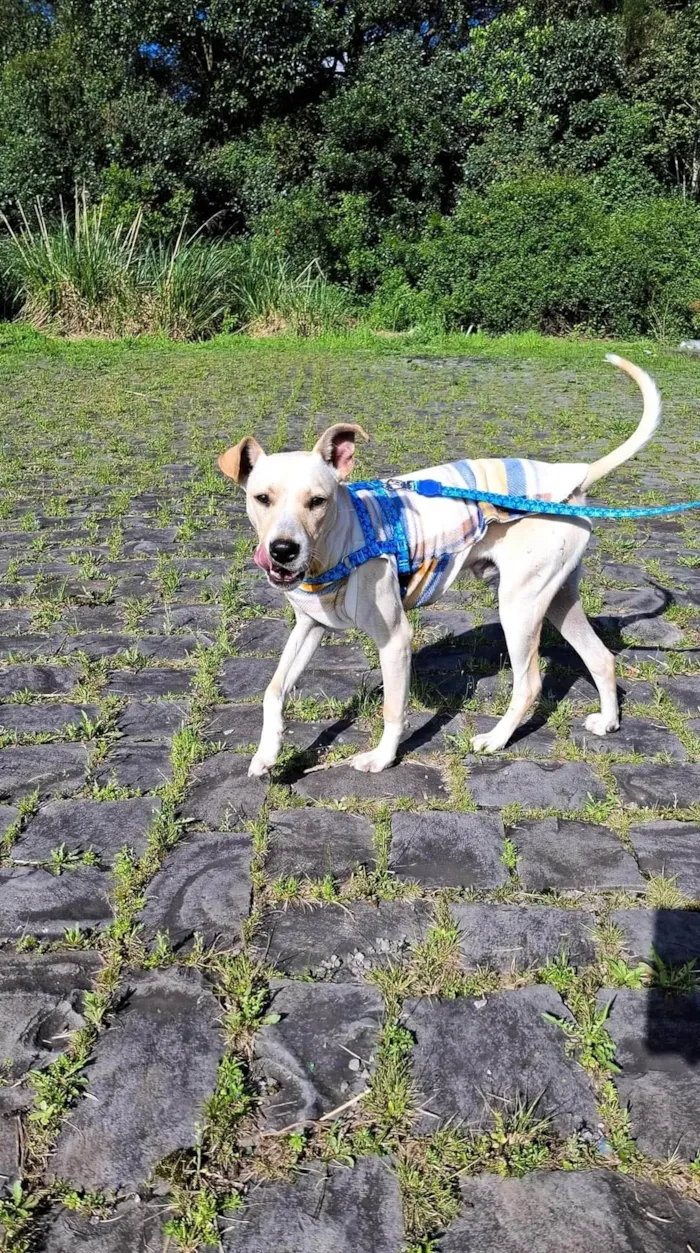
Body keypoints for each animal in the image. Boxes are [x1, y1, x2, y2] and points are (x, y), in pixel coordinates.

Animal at [219, 353, 661, 776]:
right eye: (261, 498)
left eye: (317, 501)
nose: (282, 550)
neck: (338, 543)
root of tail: (577, 479)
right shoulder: (309, 627)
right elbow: (273, 690)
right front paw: (267, 754)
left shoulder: (395, 639)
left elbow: (393, 709)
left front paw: (382, 758)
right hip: (556, 599)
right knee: (600, 657)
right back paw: (608, 721)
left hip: (518, 608)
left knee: (530, 684)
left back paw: (496, 739)